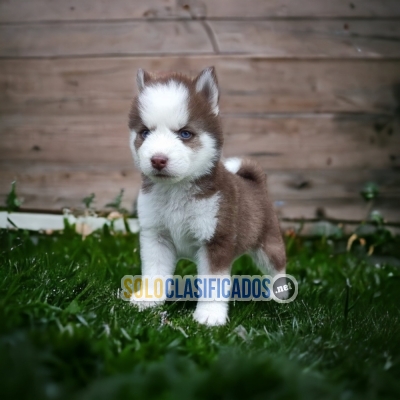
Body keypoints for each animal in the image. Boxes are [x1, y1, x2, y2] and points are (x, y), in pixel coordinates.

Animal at [127, 67, 284, 326]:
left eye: (185, 133)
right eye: (145, 132)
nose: (158, 159)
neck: (175, 191)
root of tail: (256, 183)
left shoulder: (216, 240)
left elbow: (213, 282)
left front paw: (209, 316)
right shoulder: (156, 236)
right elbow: (154, 272)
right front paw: (149, 300)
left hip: (268, 243)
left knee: (278, 267)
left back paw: (280, 295)